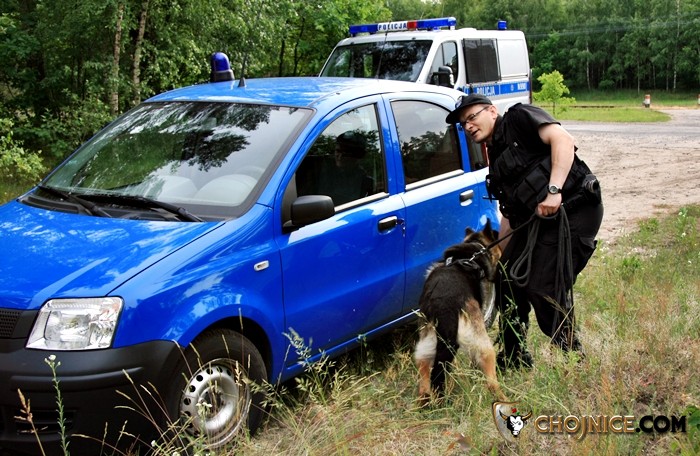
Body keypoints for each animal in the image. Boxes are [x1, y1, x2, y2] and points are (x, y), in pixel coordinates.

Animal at [414, 220, 506, 404]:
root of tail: (444, 307)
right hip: (483, 345)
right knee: (491, 382)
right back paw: (503, 398)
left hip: (425, 347)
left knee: (425, 381)